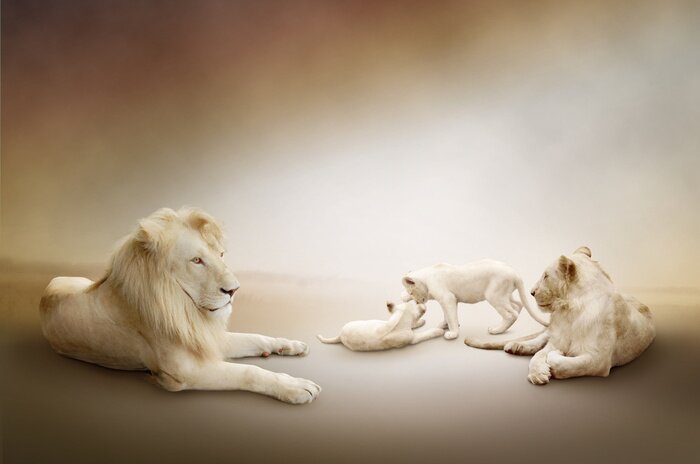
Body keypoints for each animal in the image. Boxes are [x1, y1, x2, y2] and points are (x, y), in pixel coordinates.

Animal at [39, 207, 321, 404]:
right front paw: (296, 387)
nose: (234, 290)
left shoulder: (205, 338)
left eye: (220, 255)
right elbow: (249, 372)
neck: (187, 310)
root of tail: (49, 284)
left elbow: (254, 337)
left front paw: (290, 345)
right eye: (196, 260)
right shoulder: (185, 372)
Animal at [401, 260, 550, 340]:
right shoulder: (451, 299)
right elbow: (448, 315)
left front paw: (452, 333)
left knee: (511, 314)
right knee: (518, 305)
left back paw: (496, 330)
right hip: (505, 295)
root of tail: (515, 273)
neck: (427, 278)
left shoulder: (447, 298)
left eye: (411, 292)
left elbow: (451, 316)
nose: (417, 302)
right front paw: (444, 325)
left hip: (493, 296)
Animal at [464, 247, 656, 385]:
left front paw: (555, 358)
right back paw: (516, 346)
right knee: (540, 339)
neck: (569, 311)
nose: (532, 292)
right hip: (549, 331)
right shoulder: (558, 337)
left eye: (546, 276)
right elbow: (538, 355)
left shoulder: (598, 360)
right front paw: (538, 374)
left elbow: (567, 364)